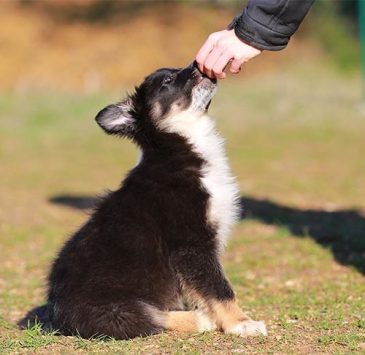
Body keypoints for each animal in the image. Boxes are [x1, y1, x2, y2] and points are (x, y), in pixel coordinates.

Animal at [42, 63, 266, 340]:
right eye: (167, 81)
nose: (198, 64)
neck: (177, 147)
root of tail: (56, 314)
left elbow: (203, 287)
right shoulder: (191, 244)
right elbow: (219, 288)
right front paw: (241, 323)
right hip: (114, 308)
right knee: (151, 317)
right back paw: (201, 319)